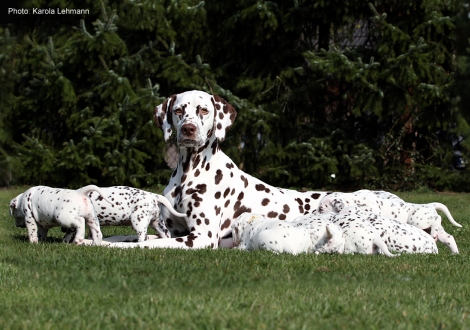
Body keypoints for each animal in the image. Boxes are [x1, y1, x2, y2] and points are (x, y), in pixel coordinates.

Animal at [102, 89, 330, 249]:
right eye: (178, 110)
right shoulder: (172, 232)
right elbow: (127, 237)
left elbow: (146, 244)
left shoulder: (201, 236)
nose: (188, 129)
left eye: (203, 110)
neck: (189, 173)